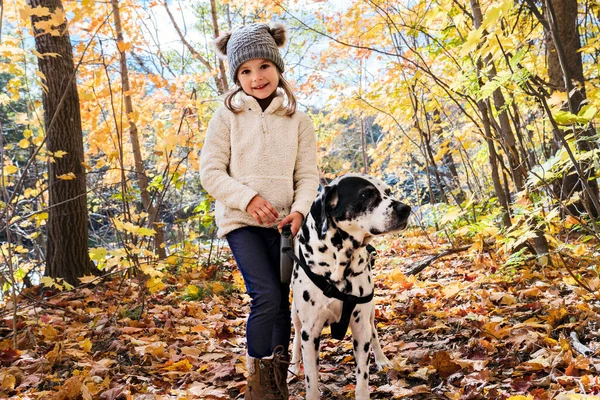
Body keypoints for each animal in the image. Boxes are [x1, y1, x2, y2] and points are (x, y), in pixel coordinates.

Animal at [290, 174, 412, 400]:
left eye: (387, 192)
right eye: (366, 194)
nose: (406, 208)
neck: (339, 268)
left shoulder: (361, 327)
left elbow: (362, 377)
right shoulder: (310, 332)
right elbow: (312, 379)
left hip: (370, 313)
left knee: (374, 333)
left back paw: (382, 359)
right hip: (295, 315)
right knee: (295, 336)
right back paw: (293, 366)